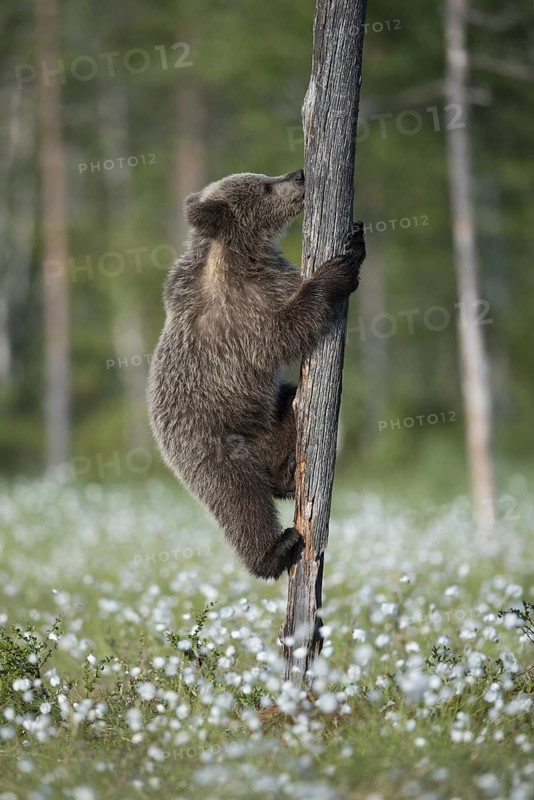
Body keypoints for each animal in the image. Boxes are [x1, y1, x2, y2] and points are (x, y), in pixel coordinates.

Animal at [147, 170, 365, 579]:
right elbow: (282, 333)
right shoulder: (242, 313)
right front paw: (335, 274)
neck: (242, 254)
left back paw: (288, 474)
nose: (299, 174)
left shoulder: (271, 277)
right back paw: (276, 550)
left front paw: (356, 240)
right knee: (240, 497)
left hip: (268, 419)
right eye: (264, 186)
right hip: (211, 443)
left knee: (291, 407)